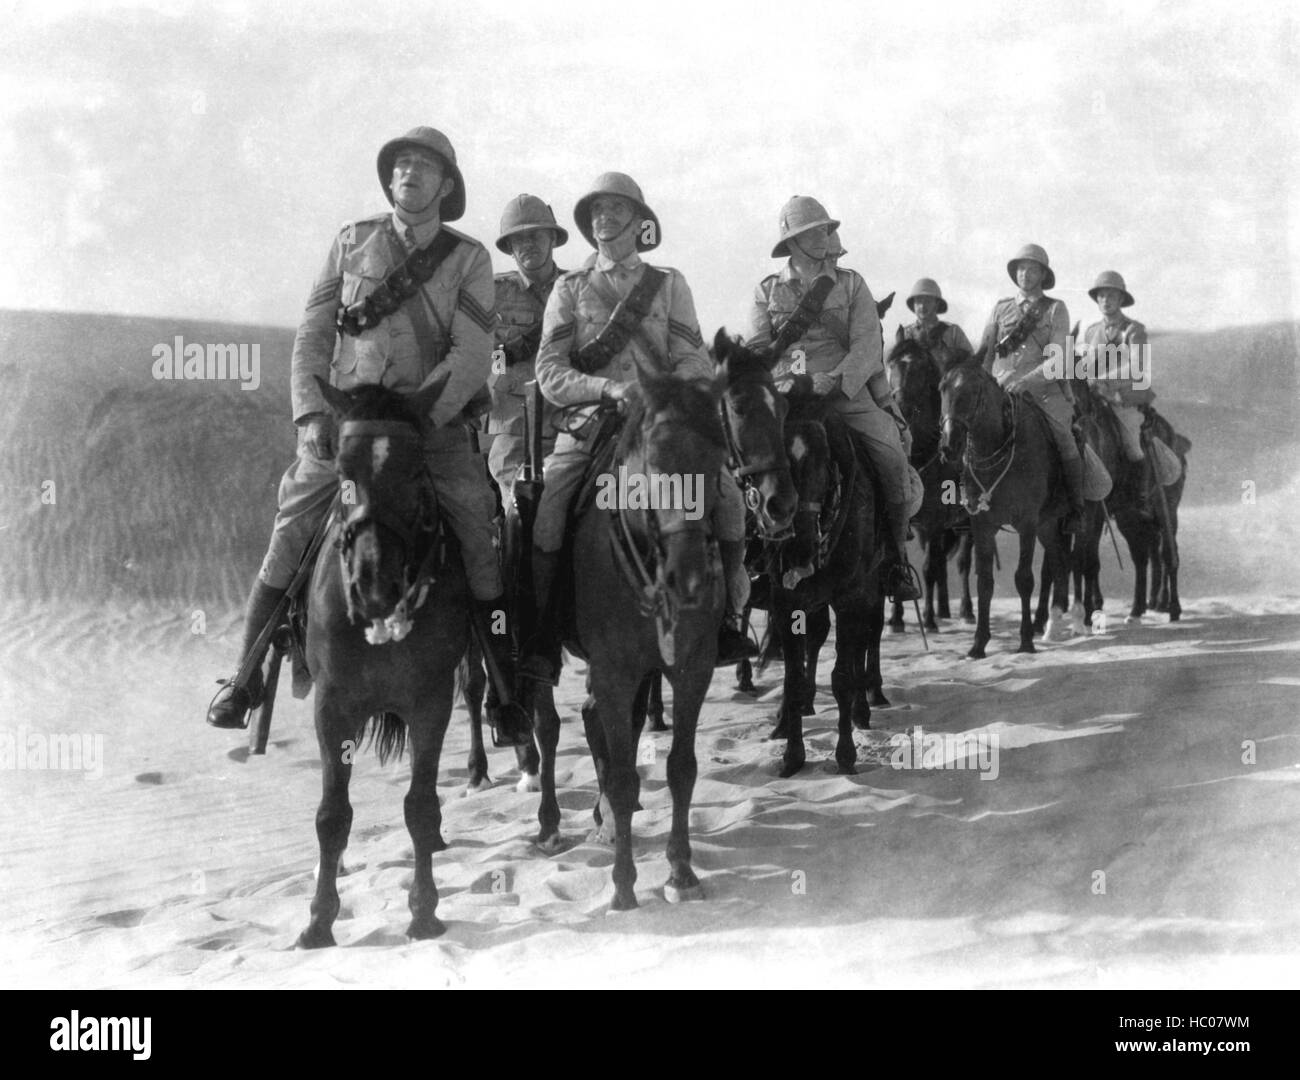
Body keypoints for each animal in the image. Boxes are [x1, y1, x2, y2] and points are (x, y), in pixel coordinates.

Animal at [297, 374, 470, 946]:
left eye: (415, 471)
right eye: (341, 472)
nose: (374, 586)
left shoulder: (431, 701)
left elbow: (420, 805)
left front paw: (424, 911)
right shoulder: (332, 707)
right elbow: (332, 815)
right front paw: (318, 921)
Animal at [883, 340, 967, 634]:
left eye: (922, 369)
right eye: (890, 366)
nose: (900, 406)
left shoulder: (934, 523)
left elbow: (930, 567)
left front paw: (928, 619)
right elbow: (901, 561)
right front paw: (896, 618)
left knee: (961, 563)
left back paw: (963, 612)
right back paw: (943, 609)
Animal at [941, 363, 1071, 660]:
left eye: (972, 391)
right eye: (942, 388)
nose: (948, 446)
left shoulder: (1027, 523)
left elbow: (1023, 578)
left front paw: (1025, 641)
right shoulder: (982, 525)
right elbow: (984, 581)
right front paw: (978, 644)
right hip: (1047, 525)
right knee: (1058, 561)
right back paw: (1052, 624)